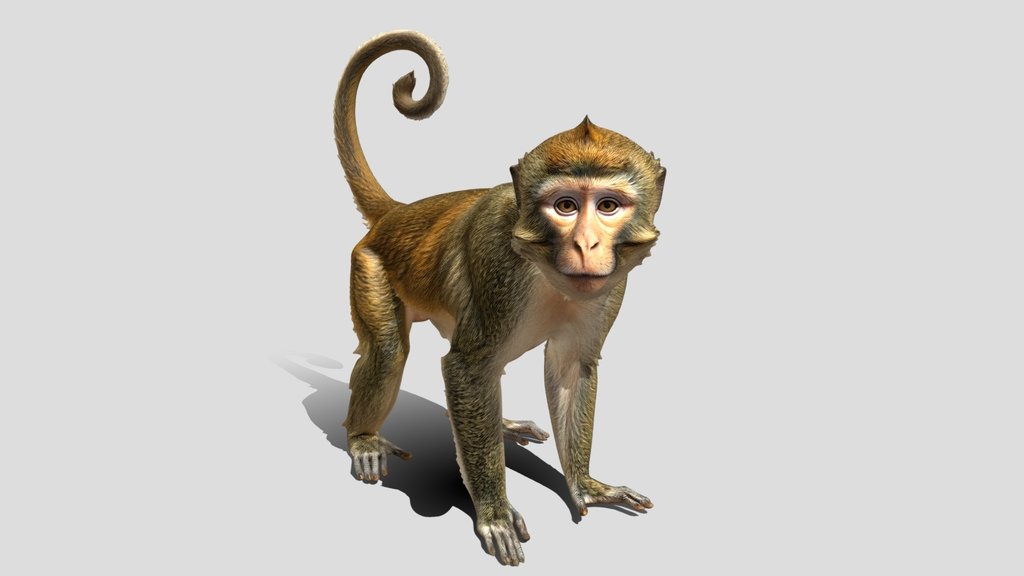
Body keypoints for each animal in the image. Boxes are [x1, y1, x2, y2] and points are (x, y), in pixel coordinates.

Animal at [334, 30, 665, 566]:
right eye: (565, 205)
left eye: (608, 206)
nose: (586, 245)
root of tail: (398, 214)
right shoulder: (496, 262)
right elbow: (465, 369)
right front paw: (493, 512)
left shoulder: (611, 287)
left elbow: (570, 367)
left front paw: (585, 486)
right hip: (367, 263)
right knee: (388, 351)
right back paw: (363, 438)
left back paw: (500, 425)